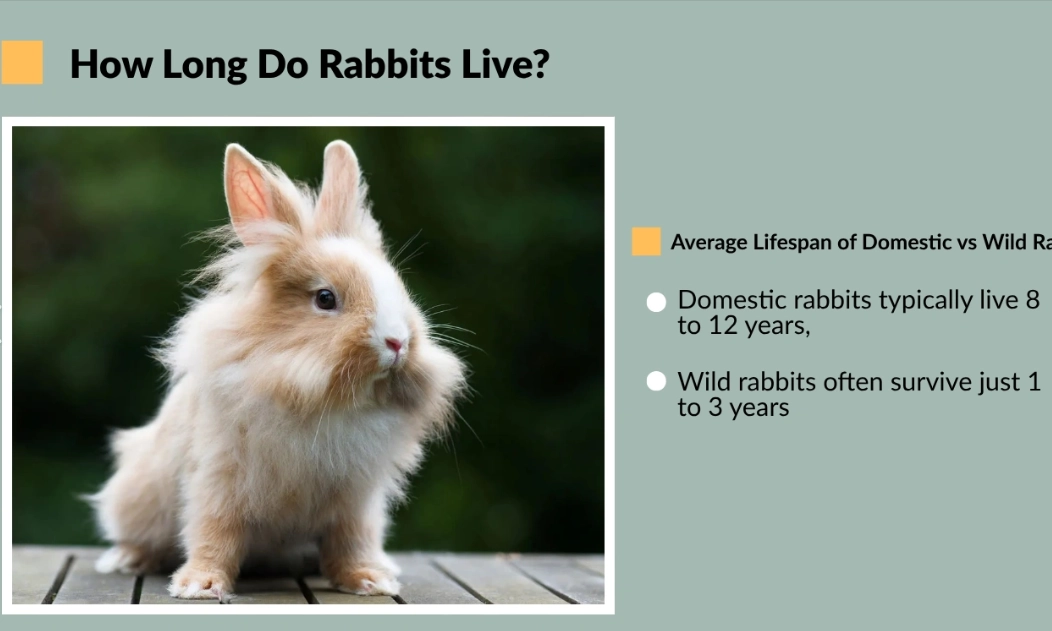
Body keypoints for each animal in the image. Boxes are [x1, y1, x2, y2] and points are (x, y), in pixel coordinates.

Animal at [87, 140, 467, 601]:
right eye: (325, 298)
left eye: (399, 288)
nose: (397, 342)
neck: (324, 401)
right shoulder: (219, 479)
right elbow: (214, 532)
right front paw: (200, 585)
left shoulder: (356, 499)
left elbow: (352, 540)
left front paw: (368, 580)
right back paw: (127, 559)